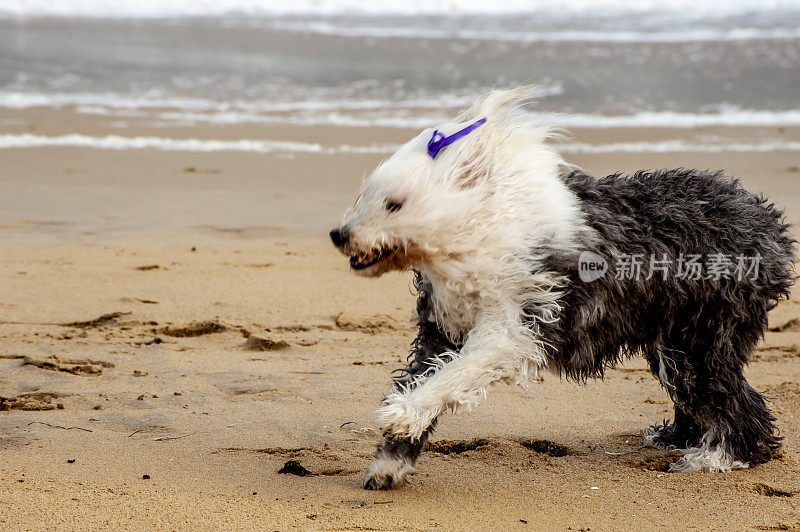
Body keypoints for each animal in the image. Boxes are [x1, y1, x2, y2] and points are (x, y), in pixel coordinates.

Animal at [330, 88, 792, 490]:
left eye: (394, 204)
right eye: (365, 195)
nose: (339, 234)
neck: (477, 232)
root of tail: (767, 220)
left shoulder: (513, 325)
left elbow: (457, 373)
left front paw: (401, 414)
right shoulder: (441, 329)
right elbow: (426, 374)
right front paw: (389, 464)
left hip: (703, 335)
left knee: (735, 402)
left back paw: (715, 457)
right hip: (672, 343)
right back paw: (675, 439)